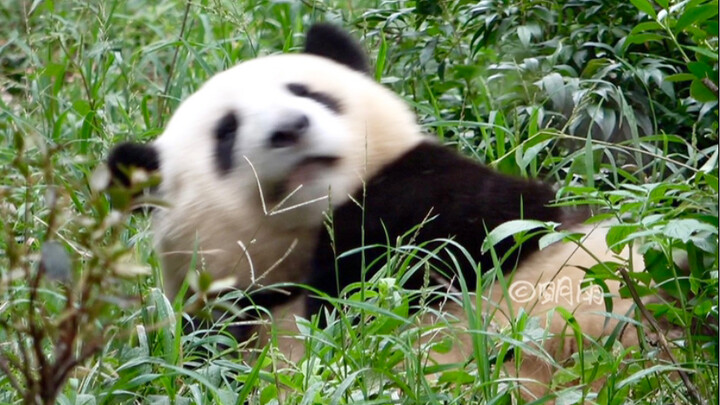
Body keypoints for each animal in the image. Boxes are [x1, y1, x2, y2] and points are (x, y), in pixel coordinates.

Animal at [108, 24, 651, 398]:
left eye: (308, 92)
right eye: (225, 131)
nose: (291, 129)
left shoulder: (493, 218)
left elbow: (461, 226)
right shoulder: (220, 337)